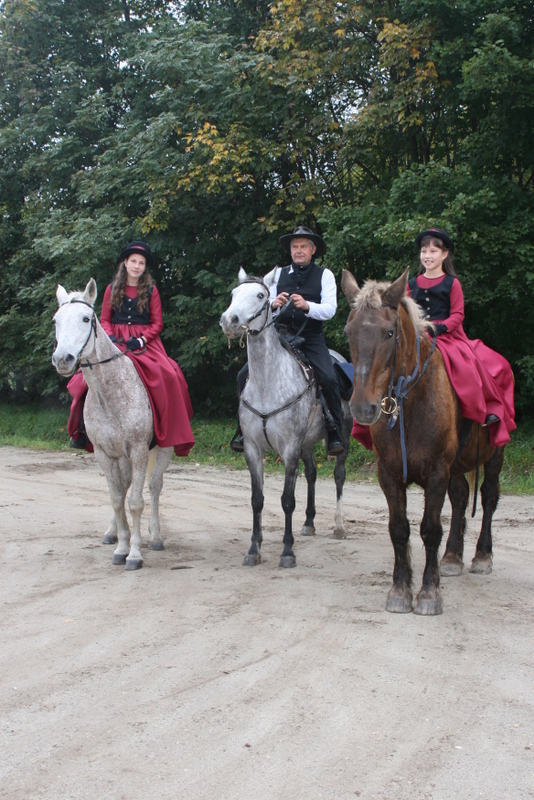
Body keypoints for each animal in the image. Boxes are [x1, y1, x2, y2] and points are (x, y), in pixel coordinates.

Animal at [52, 278, 173, 570]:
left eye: (86, 319)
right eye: (56, 320)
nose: (62, 359)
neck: (110, 393)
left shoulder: (139, 451)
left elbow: (136, 502)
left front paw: (135, 553)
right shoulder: (104, 454)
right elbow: (117, 498)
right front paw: (121, 546)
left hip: (162, 450)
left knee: (154, 486)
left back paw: (155, 536)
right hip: (122, 457)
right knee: (125, 485)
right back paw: (113, 532)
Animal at [220, 268, 353, 568]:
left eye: (260, 295)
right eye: (233, 294)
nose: (229, 320)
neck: (268, 382)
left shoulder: (289, 448)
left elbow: (287, 500)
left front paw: (288, 551)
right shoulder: (253, 449)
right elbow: (257, 499)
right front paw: (253, 549)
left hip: (342, 438)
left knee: (339, 475)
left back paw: (339, 526)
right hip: (307, 444)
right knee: (313, 473)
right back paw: (309, 523)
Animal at [342, 268, 504, 615]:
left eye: (389, 333)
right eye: (349, 332)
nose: (363, 408)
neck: (412, 401)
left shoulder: (437, 472)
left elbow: (430, 529)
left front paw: (429, 592)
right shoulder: (389, 474)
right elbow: (399, 528)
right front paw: (400, 589)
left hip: (495, 454)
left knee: (487, 497)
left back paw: (482, 555)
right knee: (461, 497)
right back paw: (452, 557)